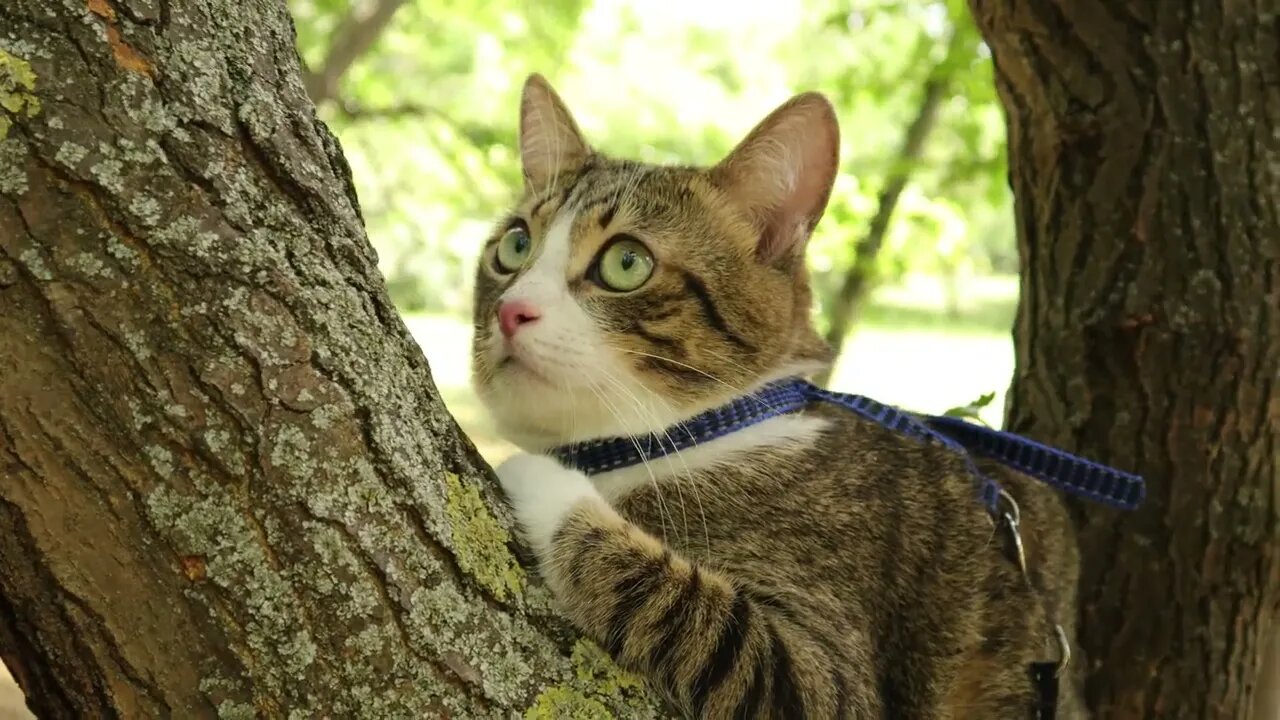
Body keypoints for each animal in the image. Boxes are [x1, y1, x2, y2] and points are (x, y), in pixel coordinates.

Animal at [465, 75, 1085, 712]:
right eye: (514, 247)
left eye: (626, 261)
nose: (511, 310)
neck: (706, 428)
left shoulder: (827, 662)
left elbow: (693, 613)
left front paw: (539, 475)